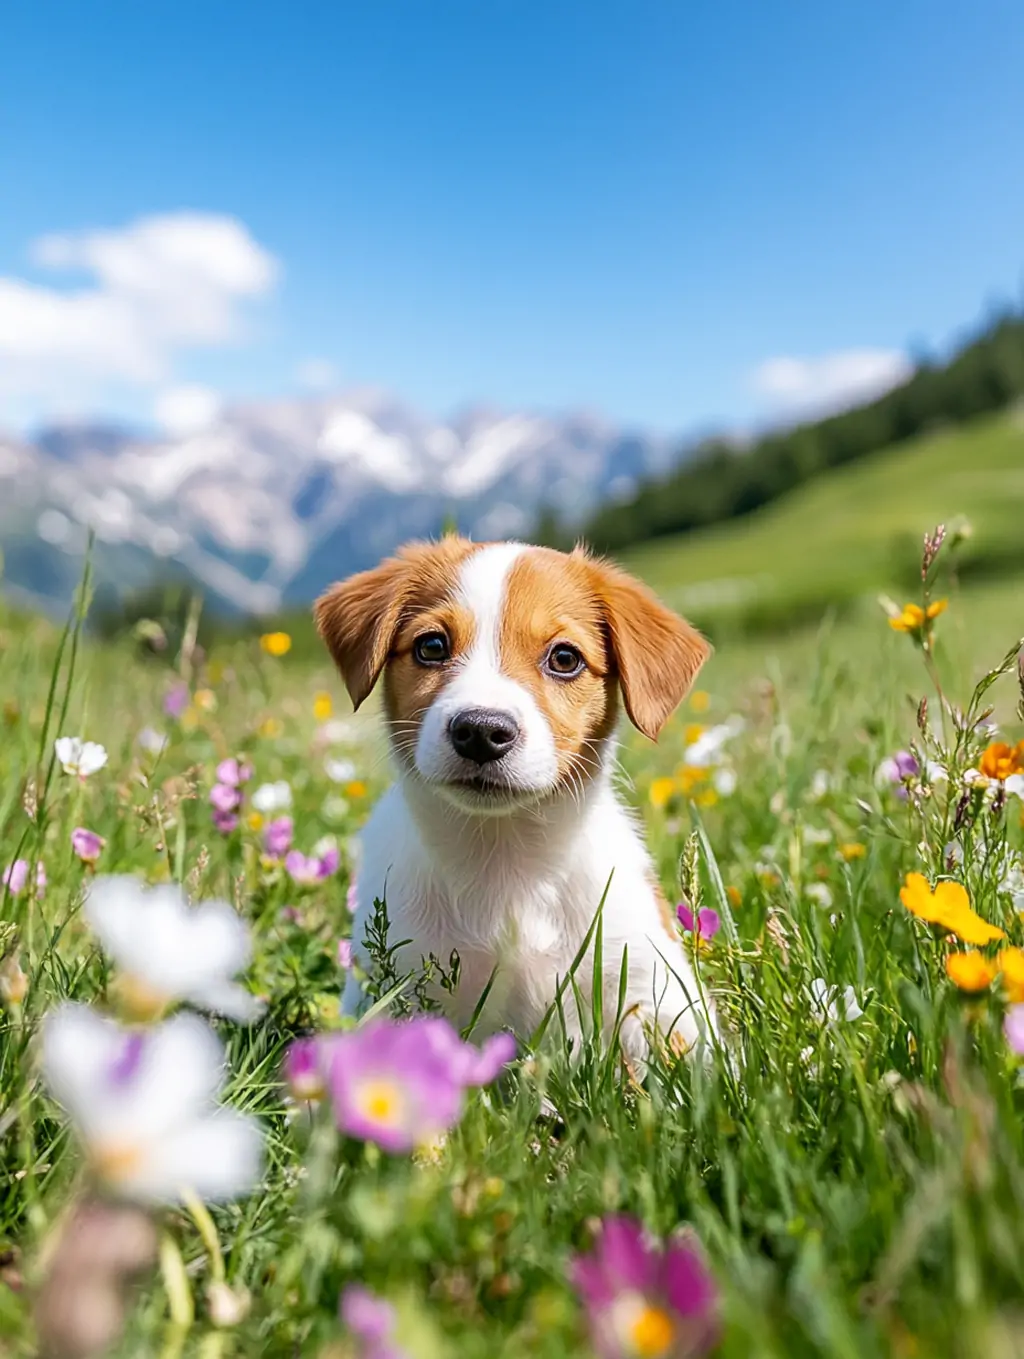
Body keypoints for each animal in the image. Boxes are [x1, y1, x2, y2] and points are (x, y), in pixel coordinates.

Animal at [315, 535, 712, 1065]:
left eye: (564, 658)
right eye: (431, 646)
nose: (481, 731)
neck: (503, 857)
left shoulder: (657, 990)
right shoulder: (387, 984)